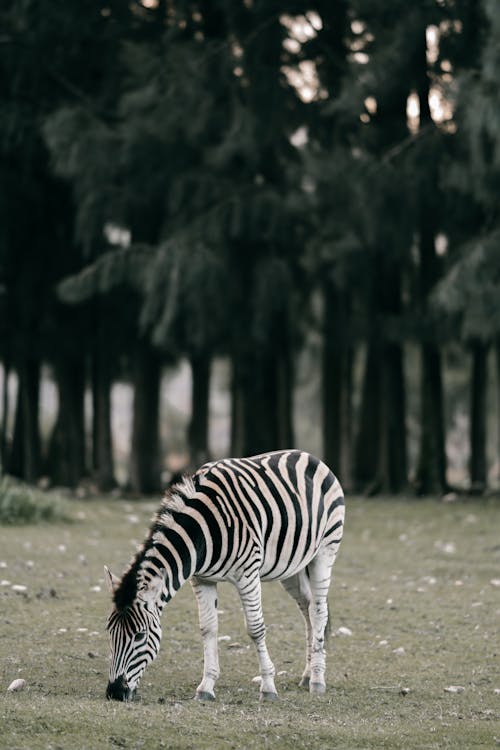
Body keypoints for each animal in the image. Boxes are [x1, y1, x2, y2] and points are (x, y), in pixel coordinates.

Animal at [103, 452, 342, 704]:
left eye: (140, 635)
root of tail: (305, 454)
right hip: (292, 567)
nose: (115, 693)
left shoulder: (248, 574)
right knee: (307, 608)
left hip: (325, 550)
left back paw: (317, 680)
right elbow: (208, 628)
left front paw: (268, 686)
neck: (202, 531)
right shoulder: (202, 579)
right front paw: (206, 687)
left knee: (319, 611)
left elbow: (255, 629)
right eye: (109, 630)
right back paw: (307, 675)